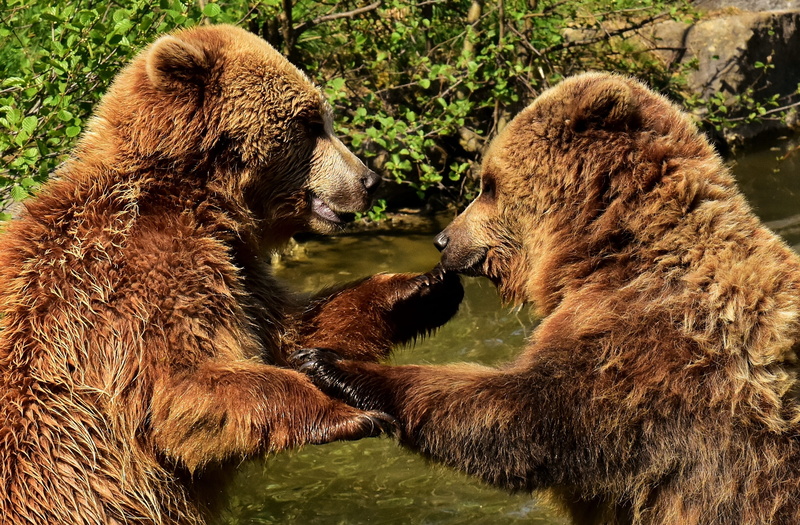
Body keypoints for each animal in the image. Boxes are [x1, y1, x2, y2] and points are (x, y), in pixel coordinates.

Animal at [0, 25, 462, 525]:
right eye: (311, 122)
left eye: (325, 118)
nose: (370, 180)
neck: (198, 196)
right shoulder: (134, 281)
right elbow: (184, 388)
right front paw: (353, 413)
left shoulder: (239, 270)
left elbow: (292, 331)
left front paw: (425, 288)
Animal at [296, 72, 800, 524]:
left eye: (489, 184)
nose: (443, 240)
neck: (609, 247)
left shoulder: (649, 346)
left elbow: (522, 417)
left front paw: (331, 364)